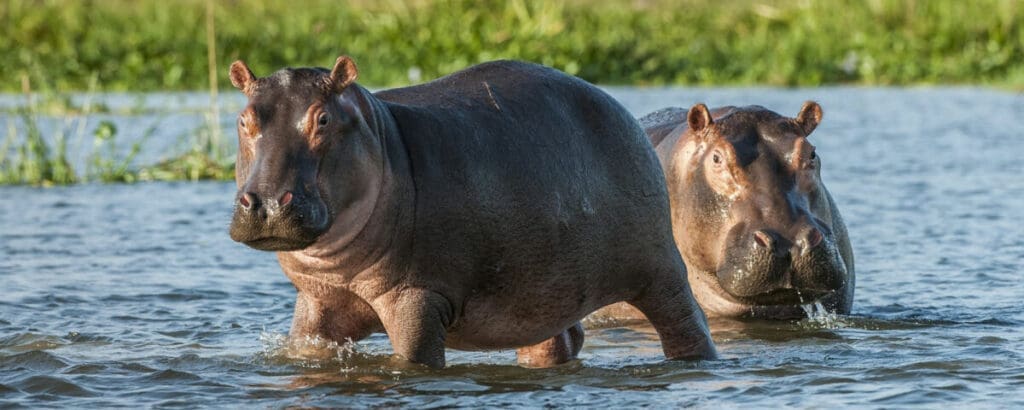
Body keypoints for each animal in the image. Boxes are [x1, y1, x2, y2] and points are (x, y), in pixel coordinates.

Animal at [228, 55, 716, 369]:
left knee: (686, 323)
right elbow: (306, 349)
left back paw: (694, 364)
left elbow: (415, 361)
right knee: (556, 340)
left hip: (660, 270)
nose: (266, 202)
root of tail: (620, 109)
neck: (381, 137)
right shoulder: (317, 300)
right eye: (244, 119)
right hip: (541, 291)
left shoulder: (417, 297)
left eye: (323, 119)